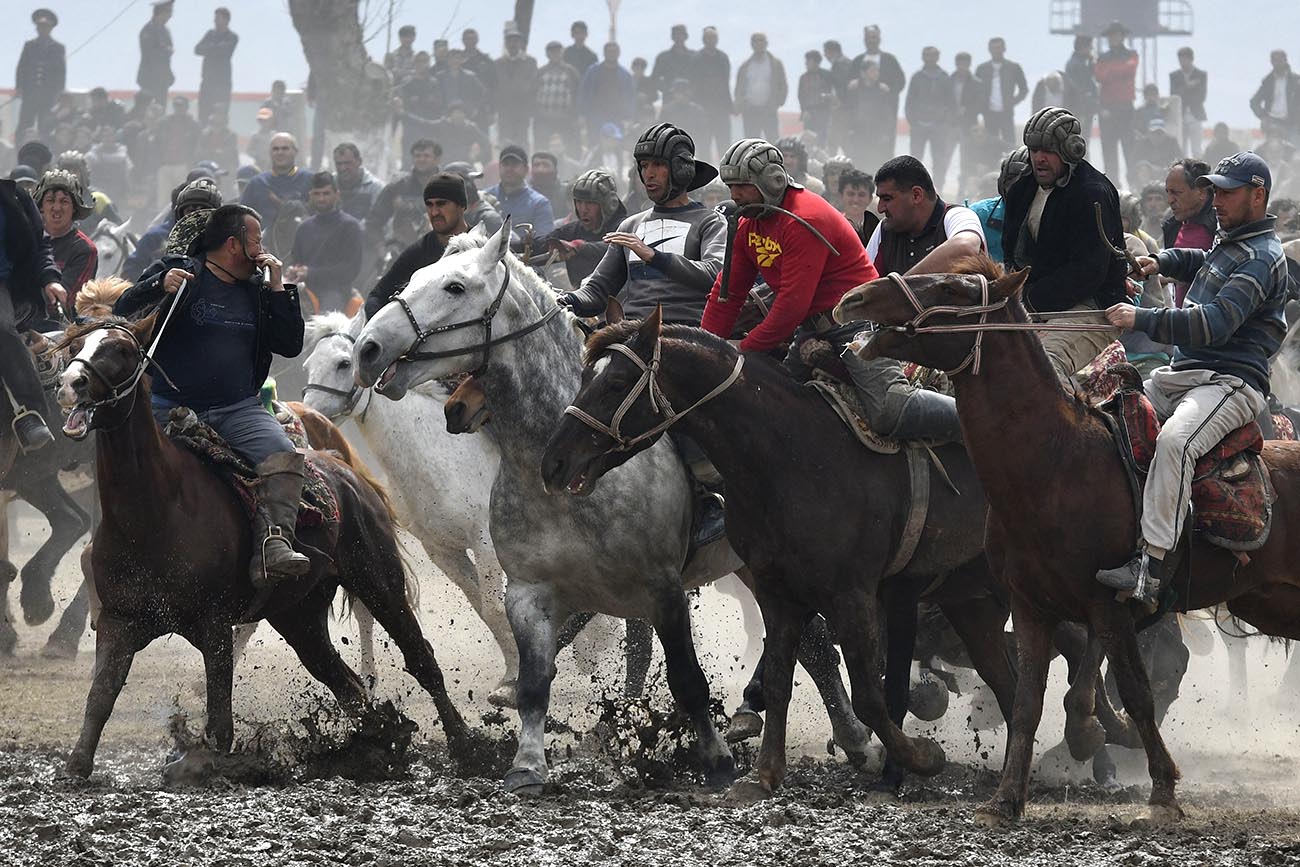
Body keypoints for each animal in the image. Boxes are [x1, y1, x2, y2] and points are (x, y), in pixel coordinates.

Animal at [55, 314, 469, 778]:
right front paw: (76, 767)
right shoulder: (119, 621)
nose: (71, 382)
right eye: (76, 345)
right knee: (346, 685)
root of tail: (347, 472)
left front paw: (205, 764)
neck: (154, 511)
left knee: (421, 660)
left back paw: (468, 748)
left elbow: (220, 719)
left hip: (379, 583)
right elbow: (100, 697)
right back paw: (374, 748)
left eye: (122, 350)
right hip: (300, 618)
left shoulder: (214, 625)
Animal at [352, 220, 753, 793]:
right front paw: (527, 765)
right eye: (414, 276)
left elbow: (686, 677)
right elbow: (535, 683)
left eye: (454, 286)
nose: (368, 348)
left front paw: (717, 762)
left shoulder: (665, 589)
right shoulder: (529, 592)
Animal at [834, 255, 1300, 825]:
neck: (1057, 464)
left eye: (953, 287)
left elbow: (1134, 692)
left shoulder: (1108, 606)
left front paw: (1162, 790)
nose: (854, 298)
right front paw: (1006, 798)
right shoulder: (1031, 606)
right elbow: (1025, 700)